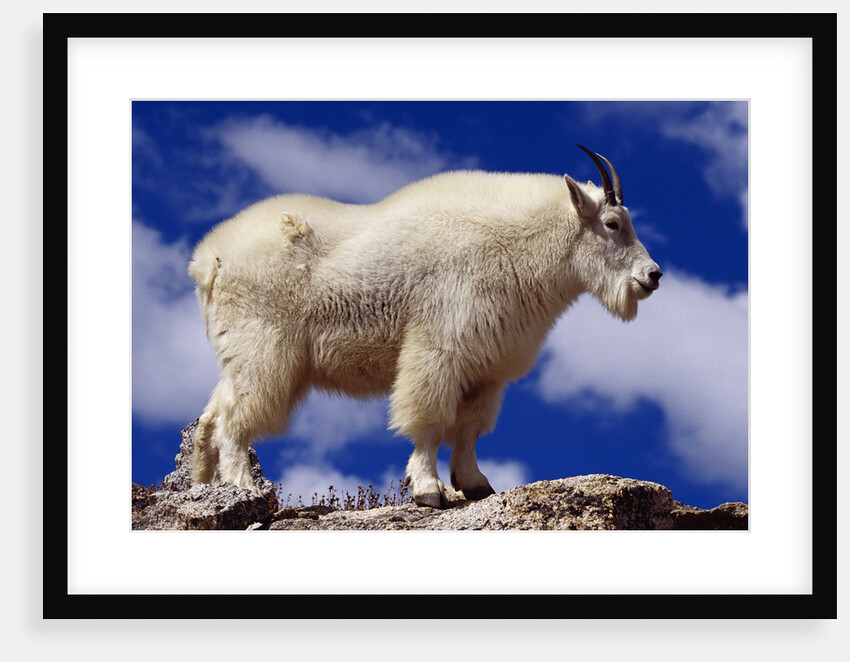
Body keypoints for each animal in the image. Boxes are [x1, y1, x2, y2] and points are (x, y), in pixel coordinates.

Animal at [188, 145, 662, 507]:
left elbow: (470, 429)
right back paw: (244, 488)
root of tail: (207, 260)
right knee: (233, 421)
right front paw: (429, 489)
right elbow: (430, 420)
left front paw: (475, 484)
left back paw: (204, 489)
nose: (653, 275)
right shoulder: (439, 347)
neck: (518, 246)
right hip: (264, 350)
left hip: (239, 353)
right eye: (612, 224)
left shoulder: (488, 367)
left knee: (210, 419)